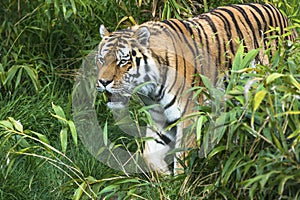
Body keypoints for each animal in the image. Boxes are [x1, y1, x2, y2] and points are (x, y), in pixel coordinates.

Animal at [95, 3, 296, 175]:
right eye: (101, 60)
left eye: (123, 61)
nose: (103, 82)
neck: (151, 91)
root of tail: (282, 13)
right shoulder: (160, 118)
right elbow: (149, 155)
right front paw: (166, 180)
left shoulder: (189, 116)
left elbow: (181, 159)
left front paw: (180, 187)